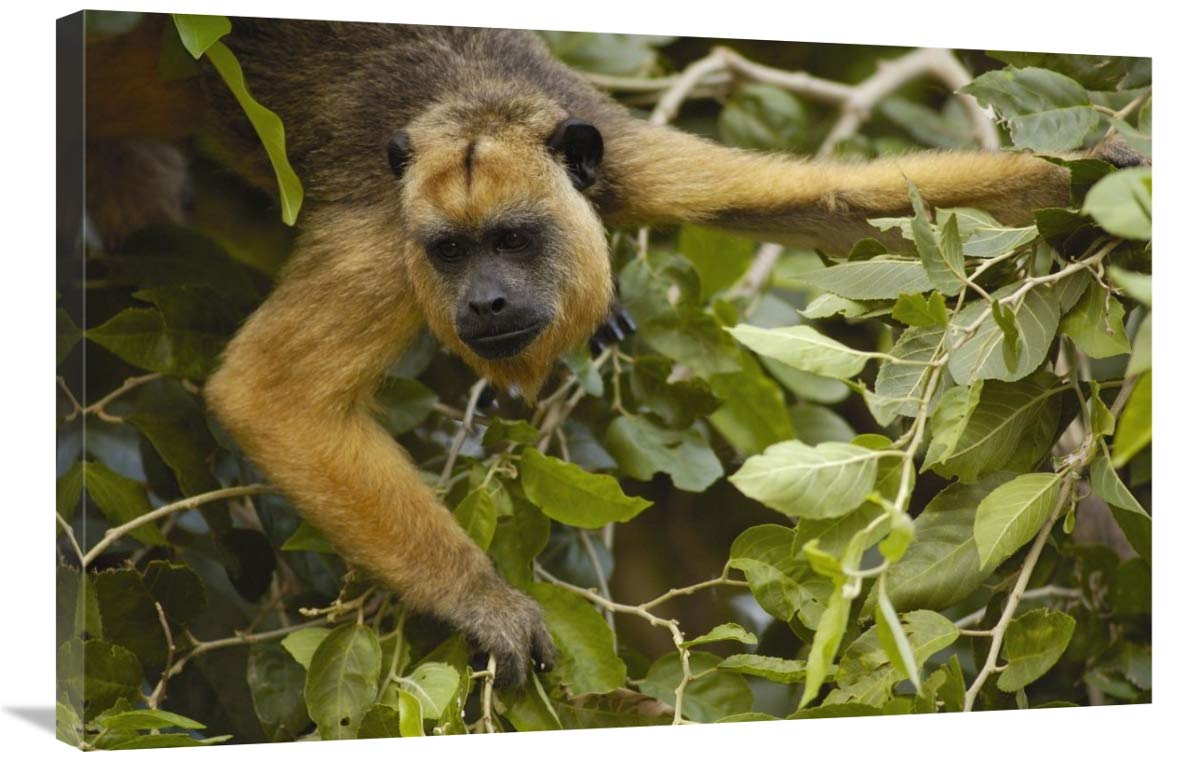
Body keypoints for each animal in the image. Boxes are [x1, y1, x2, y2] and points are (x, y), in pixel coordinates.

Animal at [76, 15, 1143, 689]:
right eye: (451, 251)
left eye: (514, 239)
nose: (484, 300)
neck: (477, 111)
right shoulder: (387, 240)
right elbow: (271, 395)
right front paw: (485, 605)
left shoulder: (619, 163)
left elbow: (831, 203)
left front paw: (1104, 177)